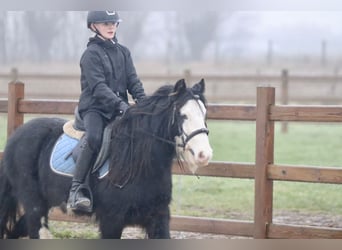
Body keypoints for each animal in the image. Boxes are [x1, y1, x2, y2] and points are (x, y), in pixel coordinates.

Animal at [0, 79, 212, 239]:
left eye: (204, 114)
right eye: (182, 115)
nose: (204, 155)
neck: (139, 163)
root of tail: (15, 138)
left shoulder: (158, 218)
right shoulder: (112, 220)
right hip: (34, 204)